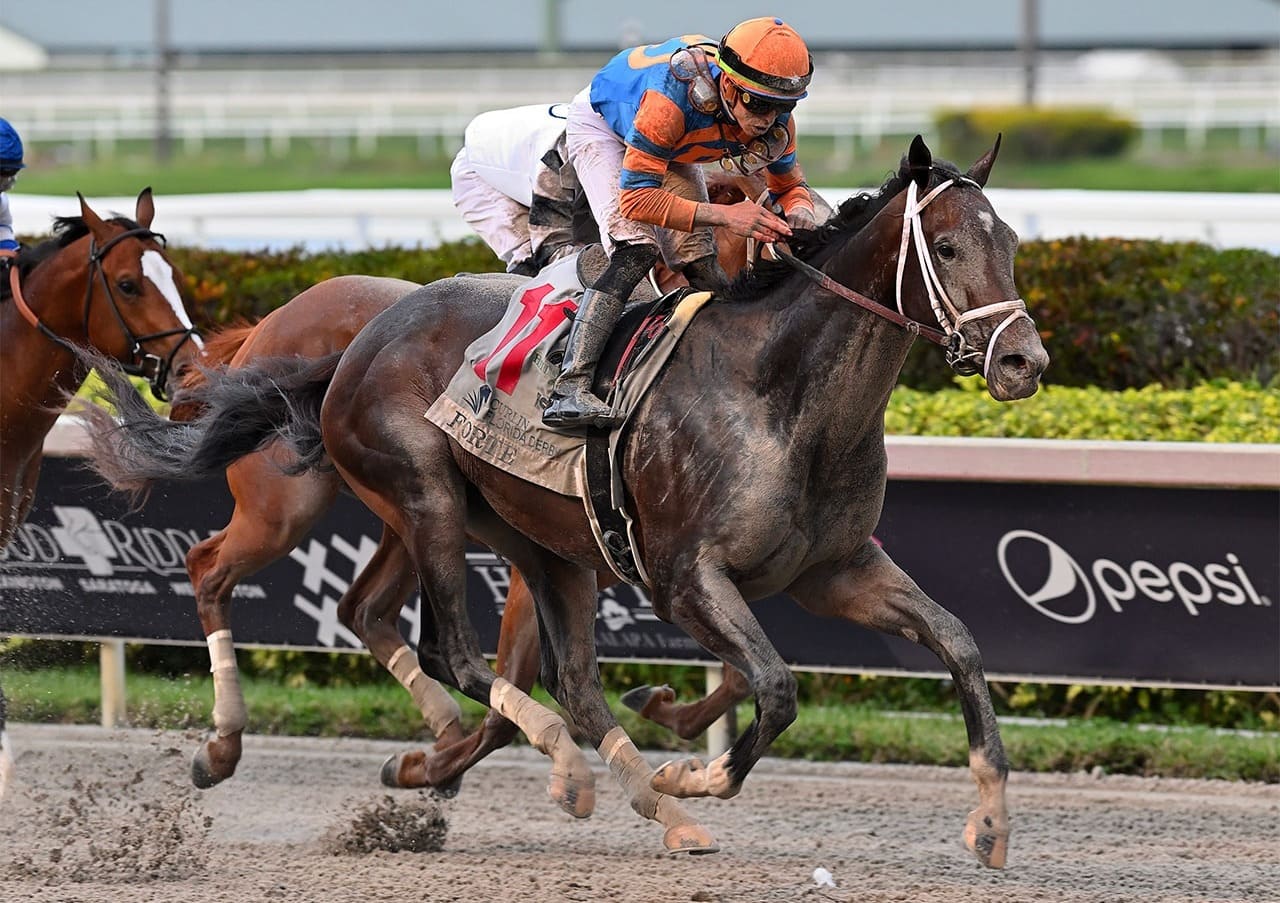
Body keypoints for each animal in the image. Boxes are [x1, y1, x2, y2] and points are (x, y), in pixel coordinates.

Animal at [74, 133, 1044, 860]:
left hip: (531, 542)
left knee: (535, 670)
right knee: (435, 646)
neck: (777, 390)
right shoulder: (684, 576)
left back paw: (634, 797)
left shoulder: (831, 569)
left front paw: (993, 817)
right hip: (405, 496)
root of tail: (348, 347)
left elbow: (957, 642)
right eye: (947, 247)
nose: (1024, 361)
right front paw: (692, 770)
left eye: (1011, 244)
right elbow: (773, 685)